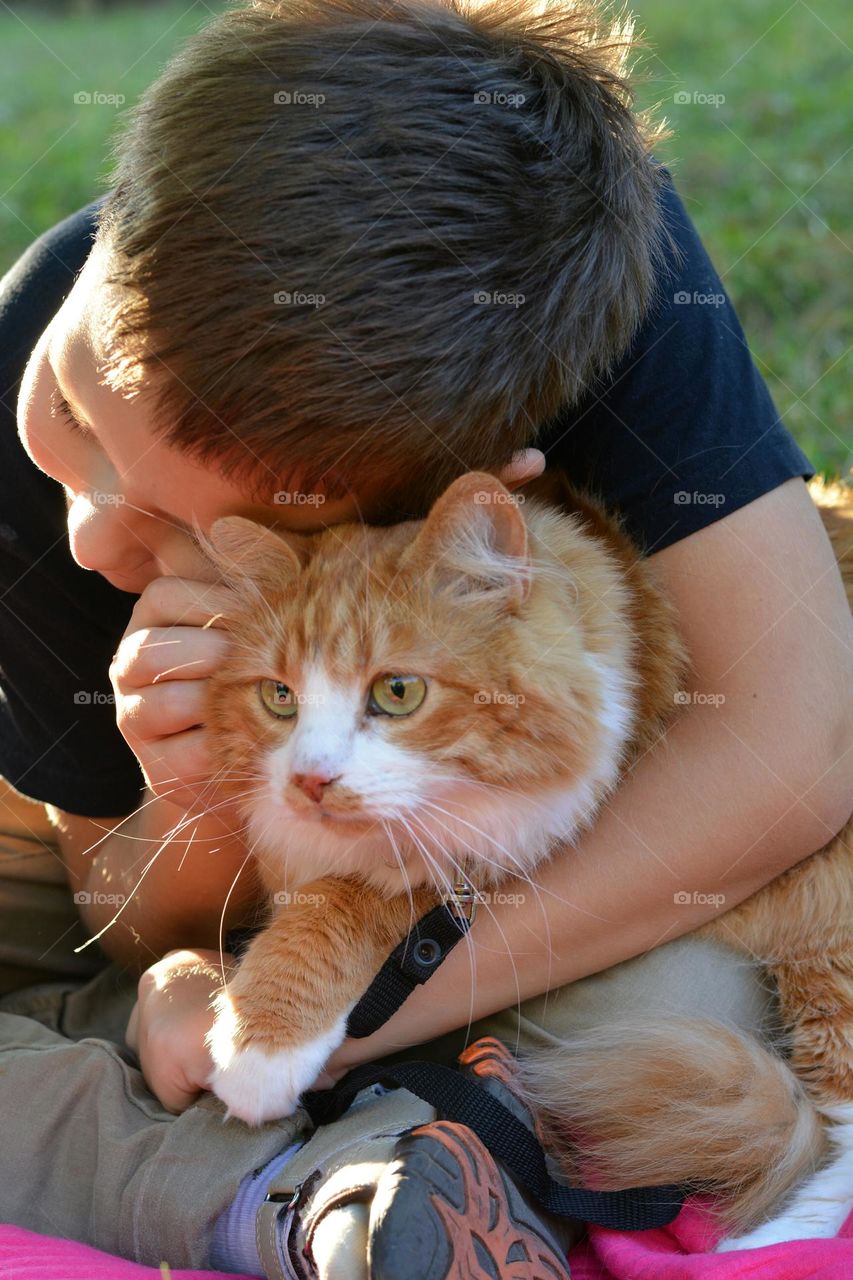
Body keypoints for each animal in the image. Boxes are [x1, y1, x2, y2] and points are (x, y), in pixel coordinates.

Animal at [201, 471, 850, 1249]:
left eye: (397, 692)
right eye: (279, 697)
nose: (309, 780)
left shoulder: (500, 846)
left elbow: (347, 903)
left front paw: (257, 1043)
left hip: (824, 924)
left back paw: (766, 1244)